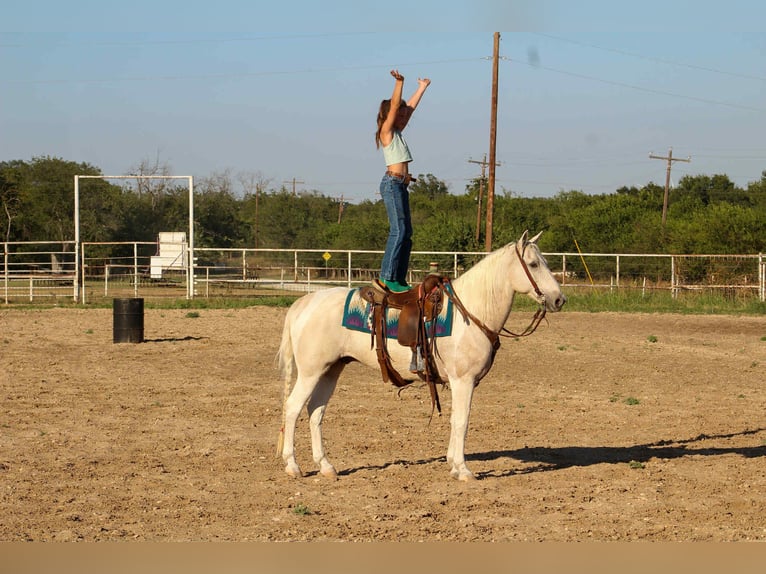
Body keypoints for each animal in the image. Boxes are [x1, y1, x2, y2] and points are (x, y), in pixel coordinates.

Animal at [276, 230, 566, 481]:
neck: (469, 312)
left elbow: (455, 419)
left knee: (315, 411)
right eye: (533, 264)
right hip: (311, 372)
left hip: (331, 370)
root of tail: (304, 303)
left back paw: (326, 466)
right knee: (293, 408)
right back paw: (292, 466)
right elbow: (462, 421)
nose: (559, 299)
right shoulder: (463, 380)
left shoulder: (459, 383)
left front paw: (453, 464)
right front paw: (463, 470)